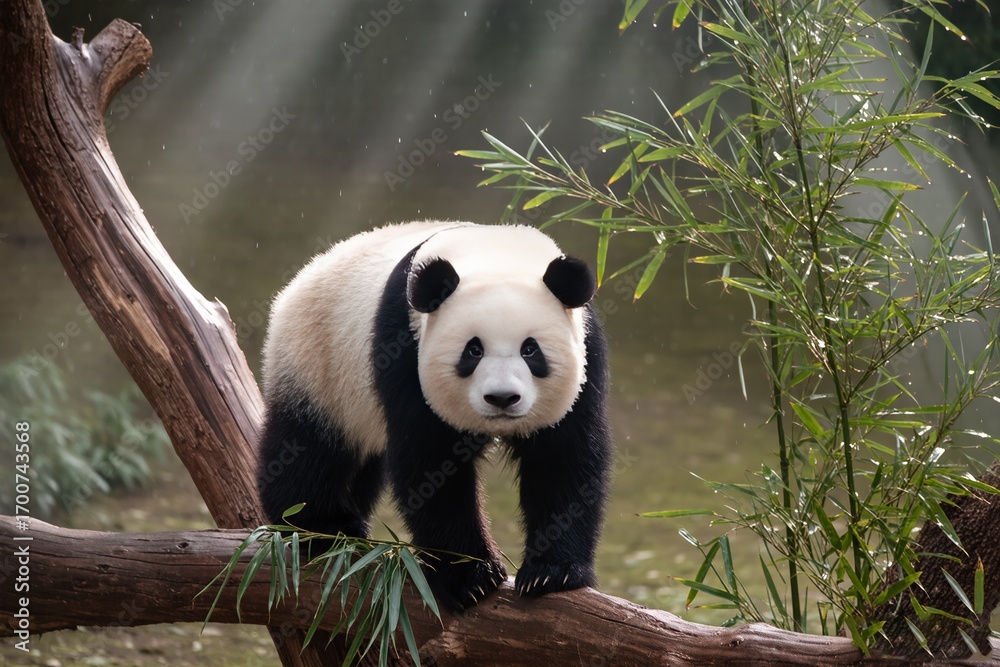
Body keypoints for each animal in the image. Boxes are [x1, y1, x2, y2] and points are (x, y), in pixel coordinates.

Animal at [257, 221, 613, 611]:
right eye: (473, 349)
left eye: (530, 349)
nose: (502, 398)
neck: (496, 253)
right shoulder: (404, 347)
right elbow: (431, 463)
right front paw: (470, 577)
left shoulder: (587, 352)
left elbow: (563, 459)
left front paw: (552, 573)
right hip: (319, 365)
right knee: (308, 449)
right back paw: (318, 526)